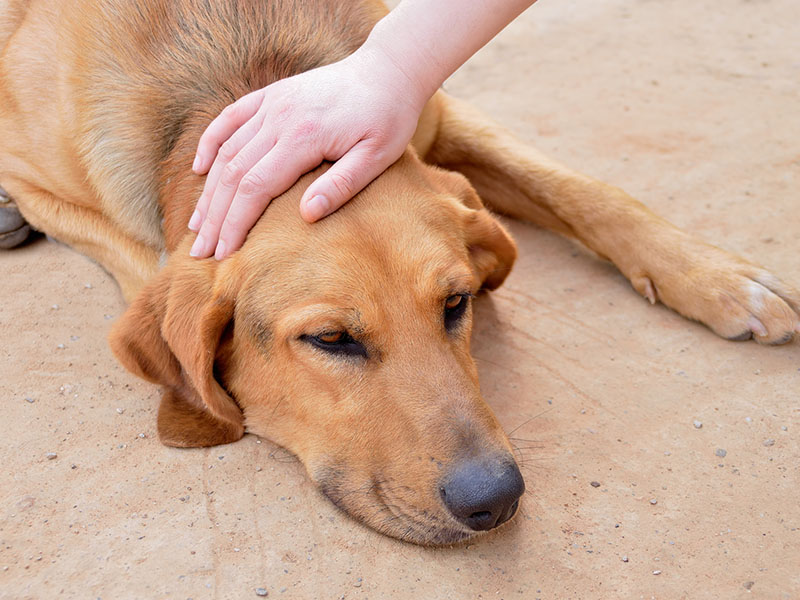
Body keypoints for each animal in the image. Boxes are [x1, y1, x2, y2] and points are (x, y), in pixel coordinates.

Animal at [1, 0, 800, 548]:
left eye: (457, 302)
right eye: (330, 339)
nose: (496, 500)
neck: (249, 76)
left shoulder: (417, 112)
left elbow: (582, 190)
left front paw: (721, 278)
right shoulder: (41, 181)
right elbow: (151, 267)